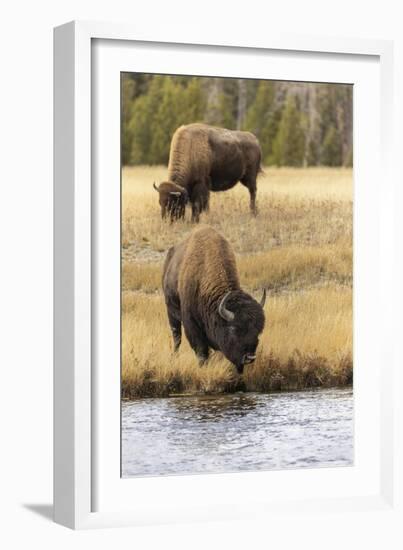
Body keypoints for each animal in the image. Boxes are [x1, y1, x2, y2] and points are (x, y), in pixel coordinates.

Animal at [163, 225, 266, 376]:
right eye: (234, 329)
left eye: (258, 330)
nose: (250, 357)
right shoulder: (192, 325)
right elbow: (201, 352)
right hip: (171, 312)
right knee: (177, 337)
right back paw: (174, 357)